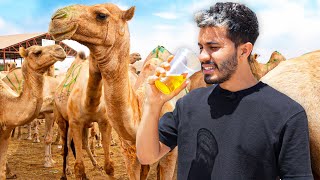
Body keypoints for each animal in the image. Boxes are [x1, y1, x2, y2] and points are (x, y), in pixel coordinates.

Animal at [50, 3, 180, 179]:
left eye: (101, 15)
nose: (56, 18)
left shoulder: (170, 155)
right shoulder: (128, 151)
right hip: (61, 118)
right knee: (67, 145)